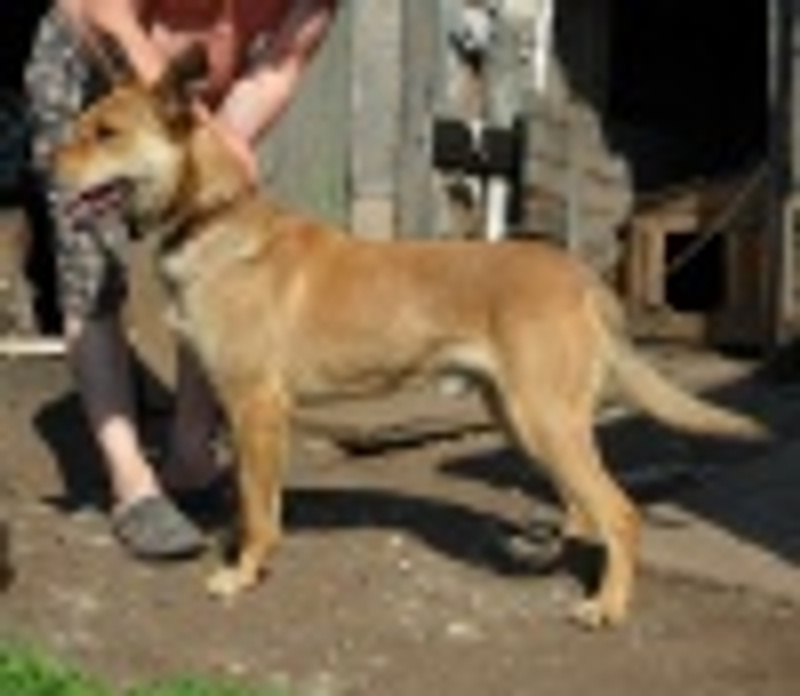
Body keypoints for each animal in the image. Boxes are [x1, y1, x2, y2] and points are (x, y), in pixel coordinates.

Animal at [54, 48, 767, 628]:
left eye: (107, 133)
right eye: (80, 126)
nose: (44, 164)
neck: (214, 217)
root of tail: (580, 276)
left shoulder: (256, 406)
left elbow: (256, 508)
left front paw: (241, 573)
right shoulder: (250, 414)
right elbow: (258, 501)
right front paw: (248, 556)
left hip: (545, 419)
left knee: (619, 513)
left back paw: (607, 606)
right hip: (521, 417)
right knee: (587, 510)